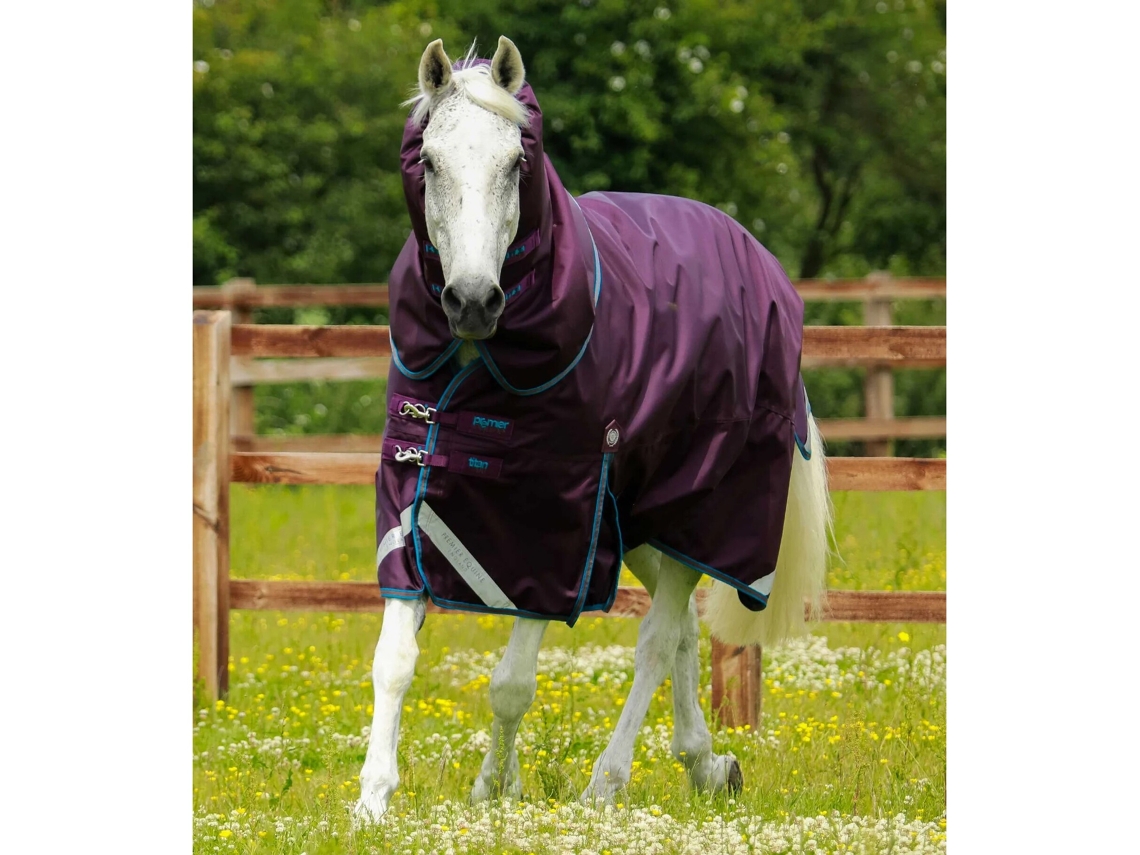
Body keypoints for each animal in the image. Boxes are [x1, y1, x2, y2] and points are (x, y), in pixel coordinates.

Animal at [353, 37, 831, 824]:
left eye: (516, 163)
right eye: (431, 162)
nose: (473, 300)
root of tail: (758, 260)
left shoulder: (555, 526)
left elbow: (512, 680)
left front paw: (494, 787)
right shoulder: (415, 501)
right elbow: (393, 660)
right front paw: (374, 797)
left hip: (699, 509)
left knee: (657, 637)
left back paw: (608, 781)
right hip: (640, 522)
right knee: (685, 631)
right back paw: (705, 763)